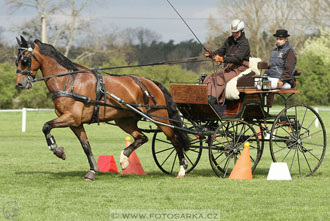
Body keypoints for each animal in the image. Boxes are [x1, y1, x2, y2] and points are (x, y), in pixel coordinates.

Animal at [14, 36, 191, 180]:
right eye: (17, 61)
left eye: (24, 60)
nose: (20, 84)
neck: (69, 81)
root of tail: (150, 82)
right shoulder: (75, 123)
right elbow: (86, 146)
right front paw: (92, 171)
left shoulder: (71, 117)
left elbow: (46, 126)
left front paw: (57, 150)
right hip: (124, 120)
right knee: (141, 137)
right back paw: (124, 159)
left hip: (160, 118)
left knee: (175, 139)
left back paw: (182, 169)